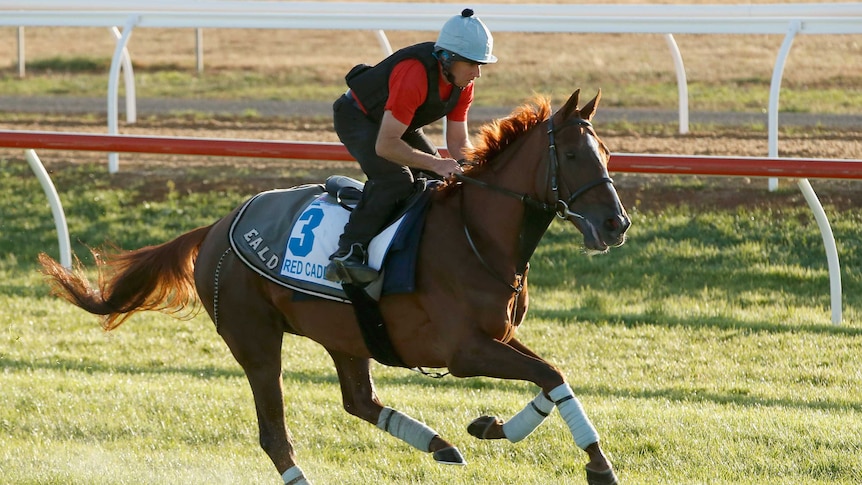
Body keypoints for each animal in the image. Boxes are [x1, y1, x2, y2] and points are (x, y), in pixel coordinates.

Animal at [40, 89, 632, 482]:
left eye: (606, 153)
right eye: (573, 155)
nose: (616, 225)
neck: (477, 235)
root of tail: (214, 227)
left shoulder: (497, 338)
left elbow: (551, 379)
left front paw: (490, 427)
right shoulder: (464, 350)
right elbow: (550, 374)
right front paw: (598, 463)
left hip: (347, 333)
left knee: (359, 401)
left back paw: (440, 444)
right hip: (256, 342)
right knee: (275, 433)